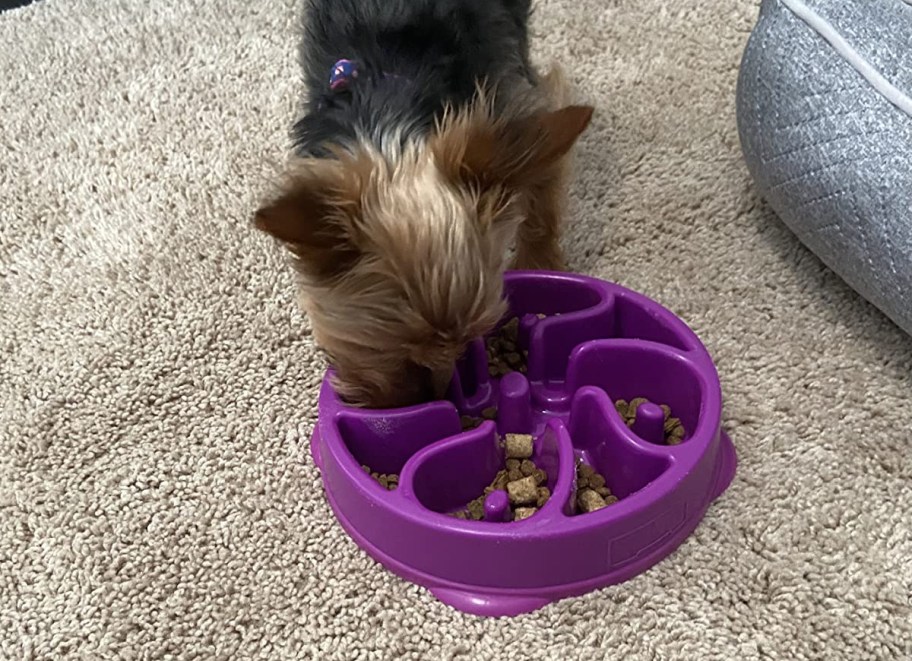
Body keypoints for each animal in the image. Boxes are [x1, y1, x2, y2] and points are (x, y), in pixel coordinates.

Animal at [253, 0, 596, 408]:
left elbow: (542, 191)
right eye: (384, 347)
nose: (424, 402)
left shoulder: (516, 104)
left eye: (469, 339)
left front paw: (539, 264)